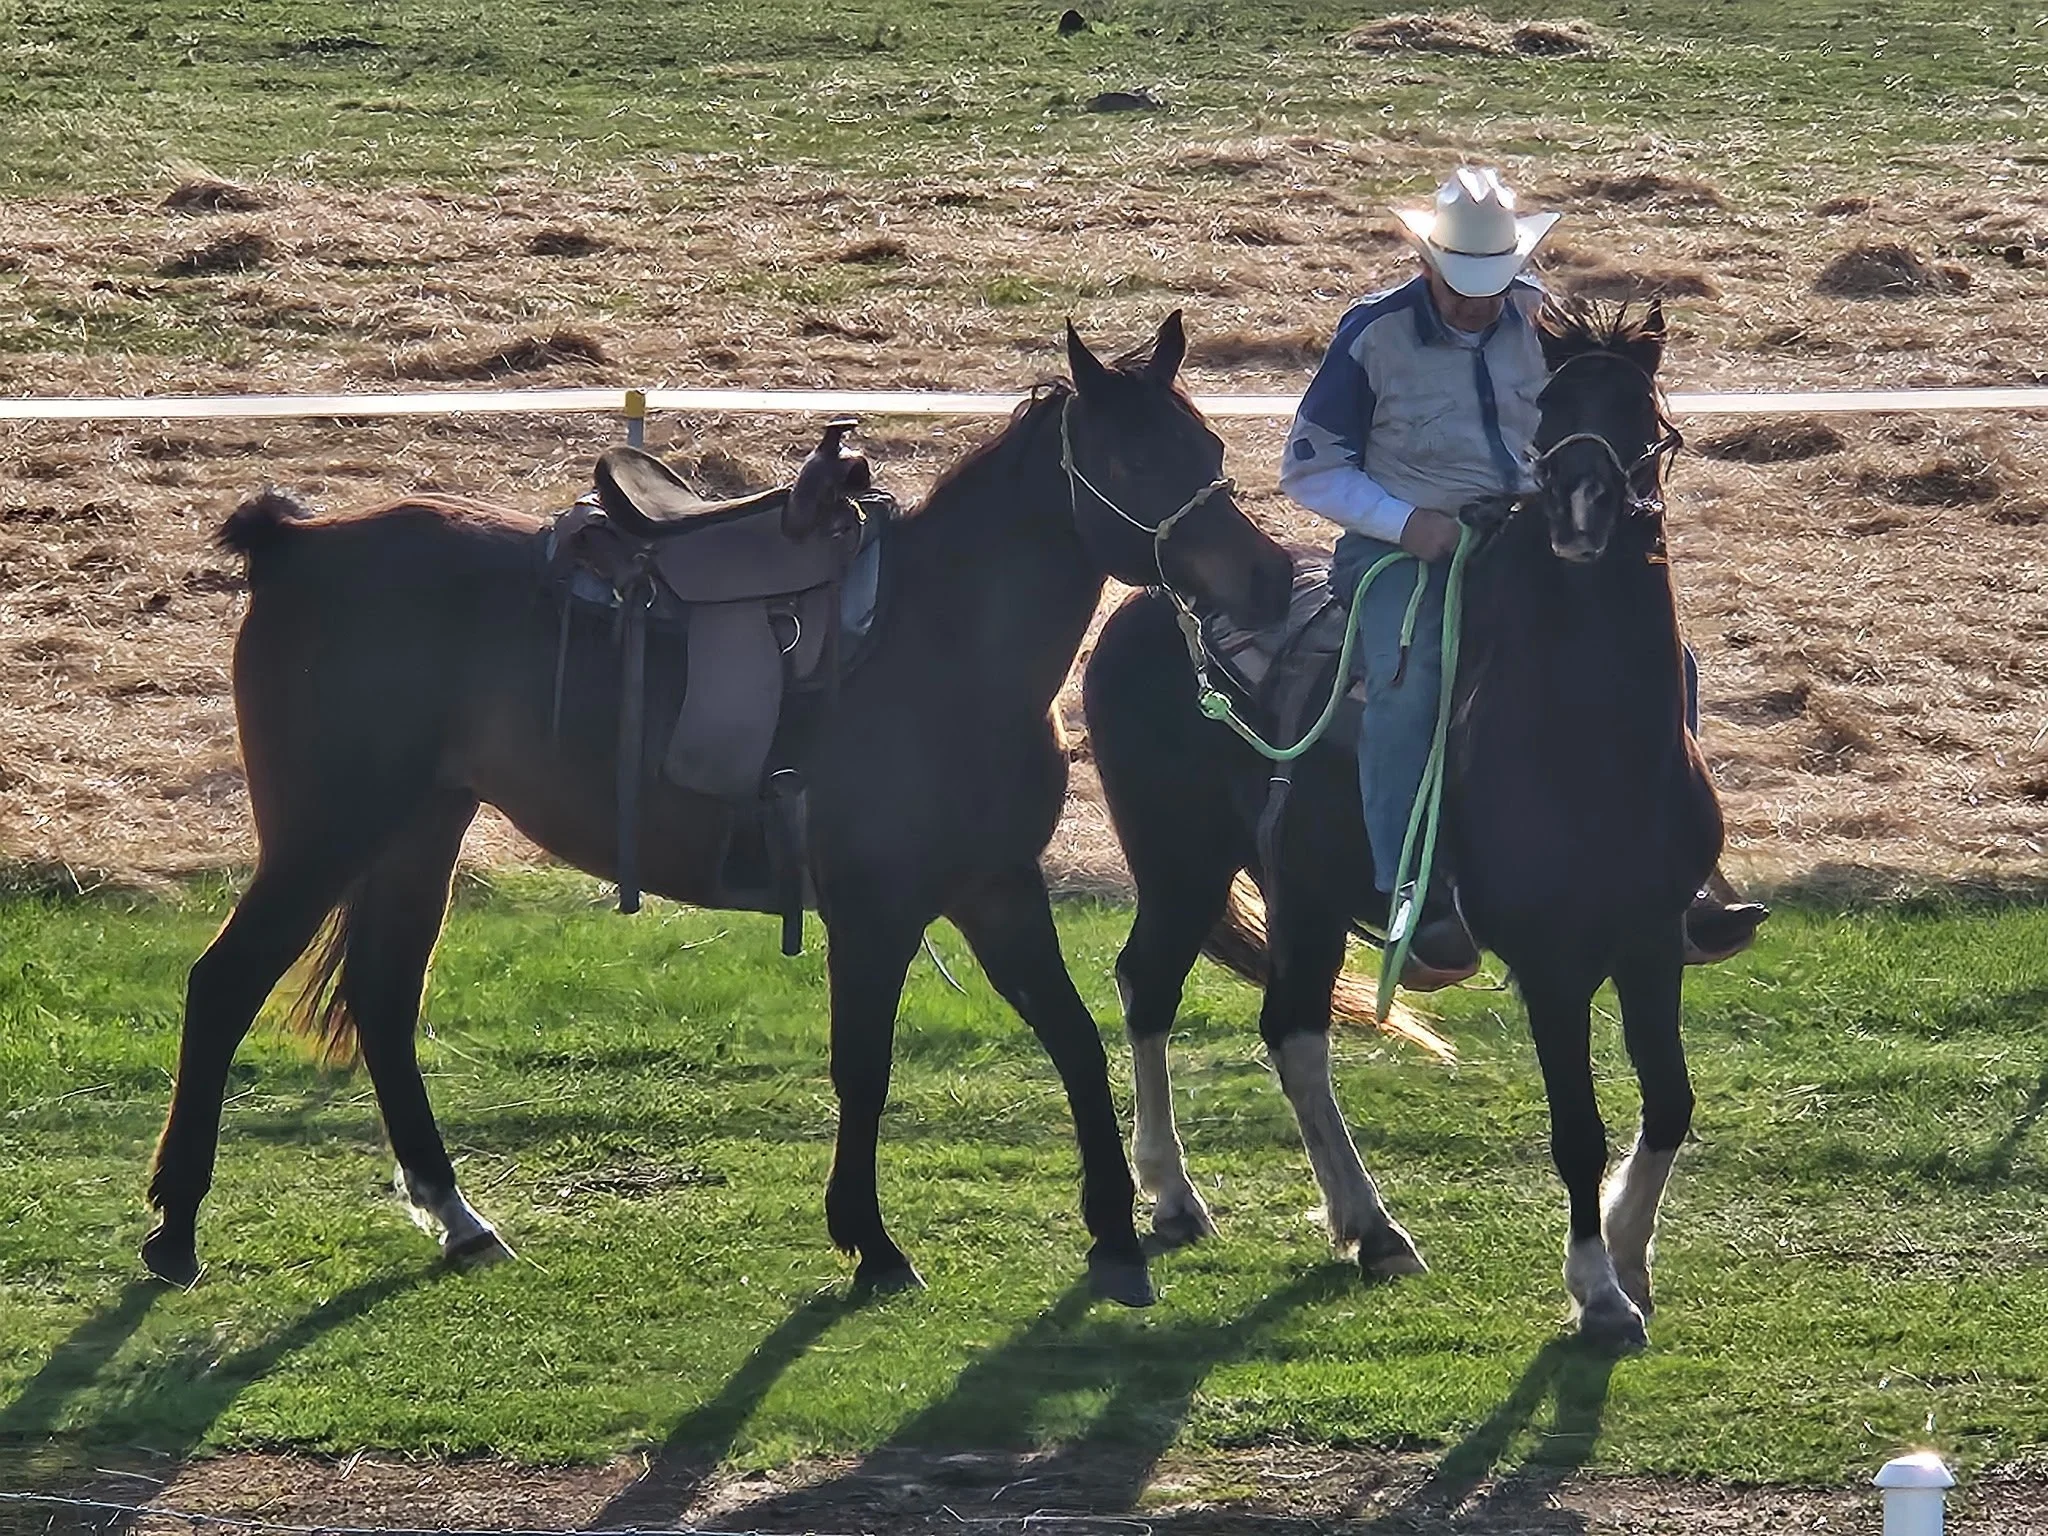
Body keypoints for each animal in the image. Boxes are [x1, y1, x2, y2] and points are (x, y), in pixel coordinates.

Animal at [142, 312, 1297, 1310]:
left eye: (1202, 442)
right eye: (1133, 463)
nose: (1271, 578)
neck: (941, 643)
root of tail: (294, 542)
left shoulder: (996, 889)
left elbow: (1072, 1039)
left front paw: (1117, 1231)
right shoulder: (876, 913)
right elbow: (864, 1069)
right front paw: (872, 1243)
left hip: (416, 834)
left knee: (382, 1002)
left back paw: (458, 1217)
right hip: (323, 835)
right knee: (223, 986)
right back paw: (175, 1231)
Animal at [1083, 298, 1719, 1348]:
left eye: (1638, 410)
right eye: (1552, 407)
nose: (1582, 511)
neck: (1591, 738)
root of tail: (1149, 609)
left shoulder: (1654, 939)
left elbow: (1668, 1102)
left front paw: (1632, 1257)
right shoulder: (1553, 963)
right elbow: (1578, 1129)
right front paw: (1596, 1290)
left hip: (1288, 890)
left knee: (1283, 1027)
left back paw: (1357, 1224)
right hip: (1189, 868)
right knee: (1167, 994)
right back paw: (1197, 1201)